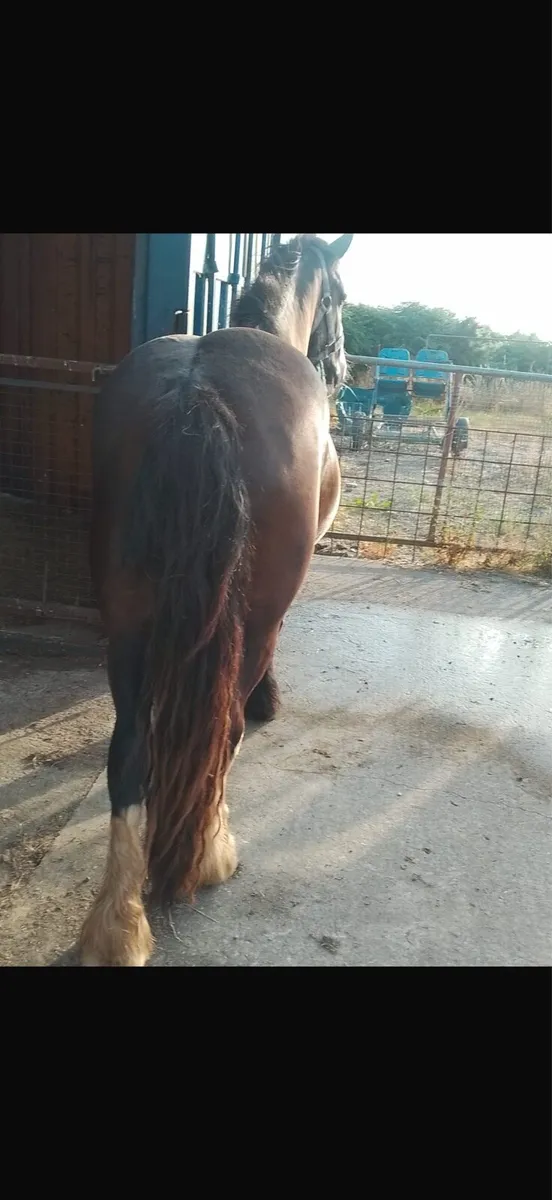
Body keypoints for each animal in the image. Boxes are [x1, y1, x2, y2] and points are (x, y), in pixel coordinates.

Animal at [80, 232, 353, 966]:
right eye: (340, 299)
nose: (342, 367)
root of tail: (197, 394)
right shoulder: (272, 611)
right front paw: (270, 701)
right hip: (249, 618)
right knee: (223, 728)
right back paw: (209, 856)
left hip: (126, 620)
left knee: (129, 752)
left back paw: (117, 925)